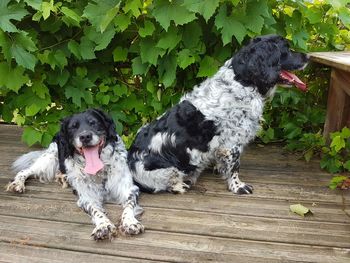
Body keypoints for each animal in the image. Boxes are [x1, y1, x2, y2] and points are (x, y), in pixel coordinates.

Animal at [7, 109, 144, 241]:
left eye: (93, 122)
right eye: (72, 127)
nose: (85, 136)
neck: (100, 171)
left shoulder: (129, 189)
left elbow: (129, 206)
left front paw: (130, 222)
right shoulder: (86, 196)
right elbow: (96, 211)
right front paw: (103, 225)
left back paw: (63, 178)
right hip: (48, 159)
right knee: (25, 171)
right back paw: (17, 184)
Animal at [129, 35, 308, 195]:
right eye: (286, 49)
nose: (308, 56)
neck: (242, 82)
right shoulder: (233, 142)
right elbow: (235, 167)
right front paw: (238, 186)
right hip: (168, 169)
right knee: (165, 185)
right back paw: (181, 185)